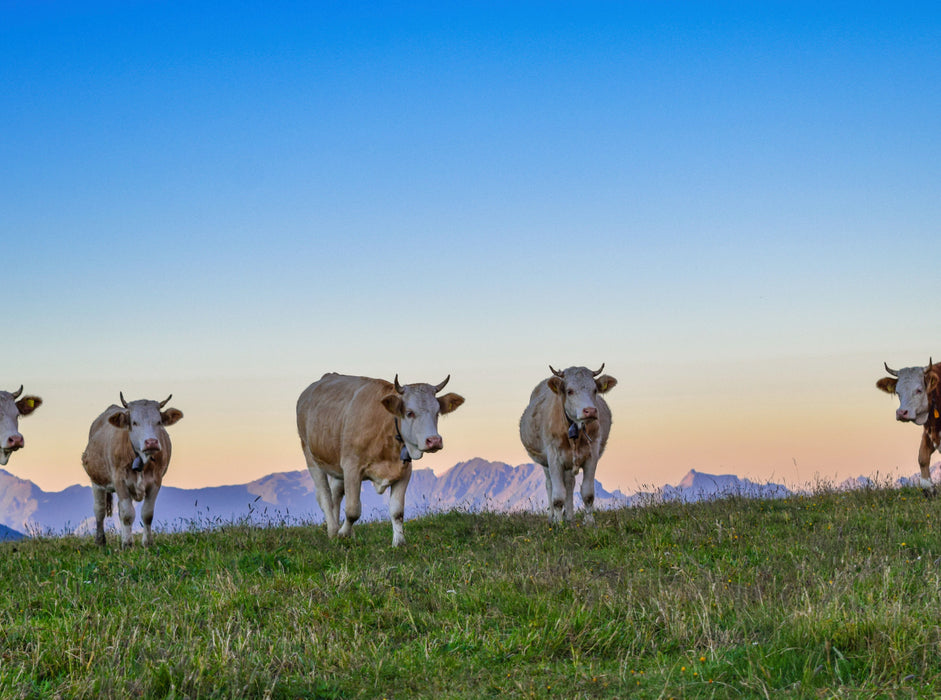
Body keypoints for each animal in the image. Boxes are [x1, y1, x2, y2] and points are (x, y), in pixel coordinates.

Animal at [81, 393, 183, 547]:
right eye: (134, 422)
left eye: (159, 422)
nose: (151, 442)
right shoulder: (119, 480)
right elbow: (127, 514)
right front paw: (128, 545)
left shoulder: (156, 482)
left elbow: (147, 514)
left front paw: (147, 543)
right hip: (96, 481)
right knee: (99, 509)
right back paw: (100, 541)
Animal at [296, 372, 464, 547]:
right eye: (409, 412)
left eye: (437, 412)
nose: (434, 440)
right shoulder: (351, 467)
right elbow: (353, 510)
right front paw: (343, 534)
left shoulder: (404, 471)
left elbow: (397, 511)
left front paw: (399, 542)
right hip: (310, 455)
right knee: (325, 496)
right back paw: (333, 531)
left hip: (336, 465)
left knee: (336, 493)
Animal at [519, 364, 617, 525]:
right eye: (570, 391)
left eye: (594, 390)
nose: (590, 410)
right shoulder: (553, 457)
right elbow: (558, 496)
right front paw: (558, 524)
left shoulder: (592, 455)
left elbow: (587, 493)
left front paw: (589, 522)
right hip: (546, 463)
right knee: (549, 485)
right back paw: (552, 517)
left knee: (570, 484)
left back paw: (570, 517)